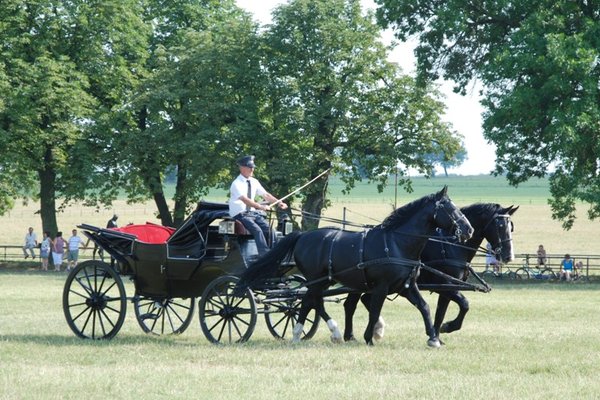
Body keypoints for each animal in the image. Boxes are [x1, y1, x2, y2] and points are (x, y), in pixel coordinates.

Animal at [238, 188, 474, 346]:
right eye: (450, 208)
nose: (468, 229)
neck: (397, 243)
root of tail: (303, 235)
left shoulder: (406, 286)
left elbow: (424, 307)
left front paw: (433, 338)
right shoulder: (382, 286)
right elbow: (375, 310)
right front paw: (370, 337)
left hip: (324, 280)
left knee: (310, 302)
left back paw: (321, 333)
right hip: (317, 279)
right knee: (310, 302)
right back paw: (308, 334)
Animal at [344, 203, 516, 344]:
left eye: (511, 226)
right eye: (500, 225)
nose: (509, 256)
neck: (451, 245)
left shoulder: (447, 288)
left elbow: (441, 313)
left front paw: (437, 336)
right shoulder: (445, 285)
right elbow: (464, 304)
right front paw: (447, 327)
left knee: (361, 301)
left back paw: (369, 331)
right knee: (352, 304)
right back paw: (352, 335)